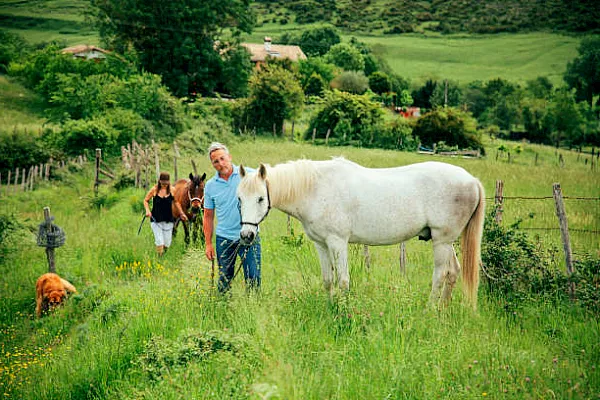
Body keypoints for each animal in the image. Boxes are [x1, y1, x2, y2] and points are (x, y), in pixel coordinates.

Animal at [237, 158, 486, 308]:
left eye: (260, 198)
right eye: (239, 198)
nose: (246, 236)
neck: (316, 188)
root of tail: (473, 181)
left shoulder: (338, 242)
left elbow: (343, 280)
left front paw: (344, 310)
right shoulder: (321, 244)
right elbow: (328, 280)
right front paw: (330, 306)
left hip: (442, 241)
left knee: (440, 275)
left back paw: (430, 310)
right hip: (446, 241)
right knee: (453, 272)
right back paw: (443, 311)